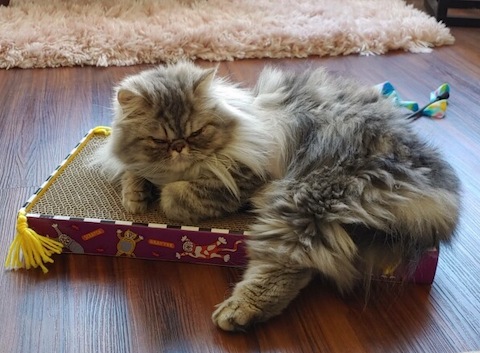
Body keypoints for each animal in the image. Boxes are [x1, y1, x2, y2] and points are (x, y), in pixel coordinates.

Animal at [98, 60, 462, 330]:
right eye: (159, 140)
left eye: (197, 132)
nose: (179, 148)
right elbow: (133, 171)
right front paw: (136, 195)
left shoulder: (244, 176)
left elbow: (180, 196)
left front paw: (163, 195)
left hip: (303, 201)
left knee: (291, 265)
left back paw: (237, 313)